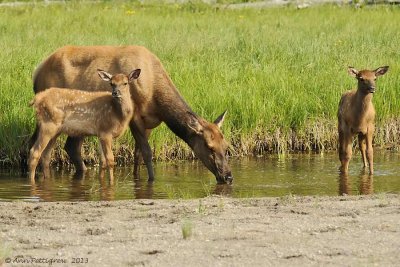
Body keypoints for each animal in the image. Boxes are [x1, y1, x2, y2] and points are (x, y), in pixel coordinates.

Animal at [29, 45, 233, 184]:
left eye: (226, 146)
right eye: (209, 147)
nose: (228, 176)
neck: (154, 95)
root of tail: (36, 73)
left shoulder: (150, 122)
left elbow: (138, 154)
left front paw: (137, 178)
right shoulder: (135, 118)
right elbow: (147, 153)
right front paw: (152, 180)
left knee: (70, 147)